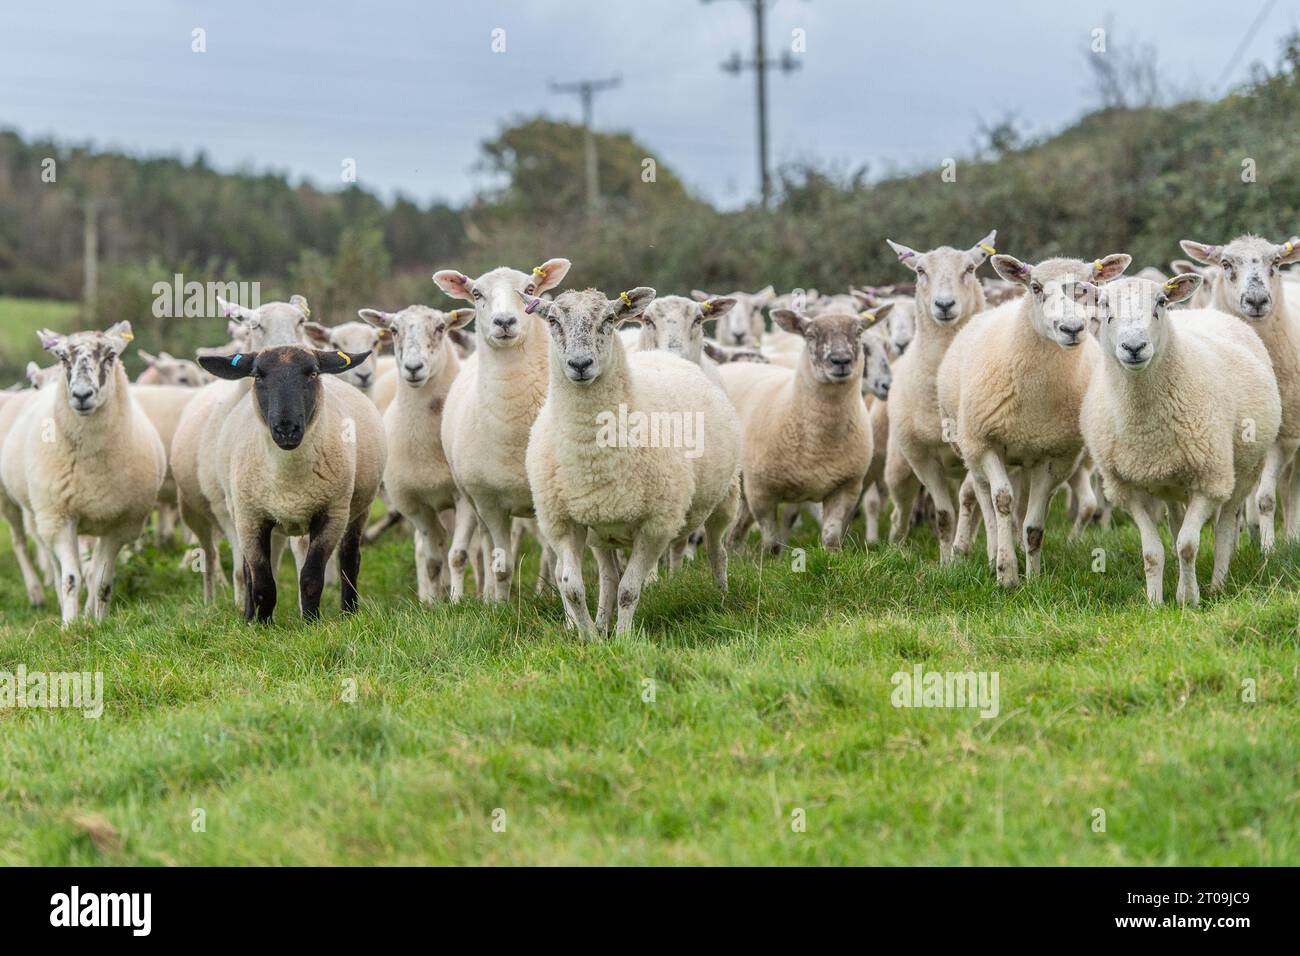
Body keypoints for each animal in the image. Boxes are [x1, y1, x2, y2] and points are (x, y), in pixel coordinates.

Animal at [1, 323, 166, 629]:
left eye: (111, 355)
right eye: (63, 357)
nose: (81, 395)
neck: (92, 468)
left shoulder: (121, 525)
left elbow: (100, 580)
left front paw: (97, 622)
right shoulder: (60, 517)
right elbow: (70, 578)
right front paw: (69, 626)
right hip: (24, 507)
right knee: (28, 548)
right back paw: (39, 594)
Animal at [520, 287, 743, 639]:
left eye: (609, 319)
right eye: (552, 320)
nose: (580, 364)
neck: (592, 456)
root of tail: (667, 356)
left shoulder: (655, 526)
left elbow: (629, 590)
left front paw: (624, 640)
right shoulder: (562, 522)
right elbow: (572, 588)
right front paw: (590, 639)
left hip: (725, 498)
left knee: (716, 550)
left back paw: (722, 595)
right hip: (600, 530)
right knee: (608, 576)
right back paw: (601, 622)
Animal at [1076, 274, 1279, 606]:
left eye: (1160, 302)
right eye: (1103, 304)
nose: (1134, 347)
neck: (1144, 425)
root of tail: (1206, 312)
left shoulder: (1210, 480)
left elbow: (1188, 545)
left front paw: (1188, 599)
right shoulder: (1125, 489)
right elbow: (1151, 551)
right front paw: (1155, 602)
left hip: (1243, 471)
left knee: (1225, 526)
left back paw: (1217, 584)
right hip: (1171, 482)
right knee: (1175, 521)